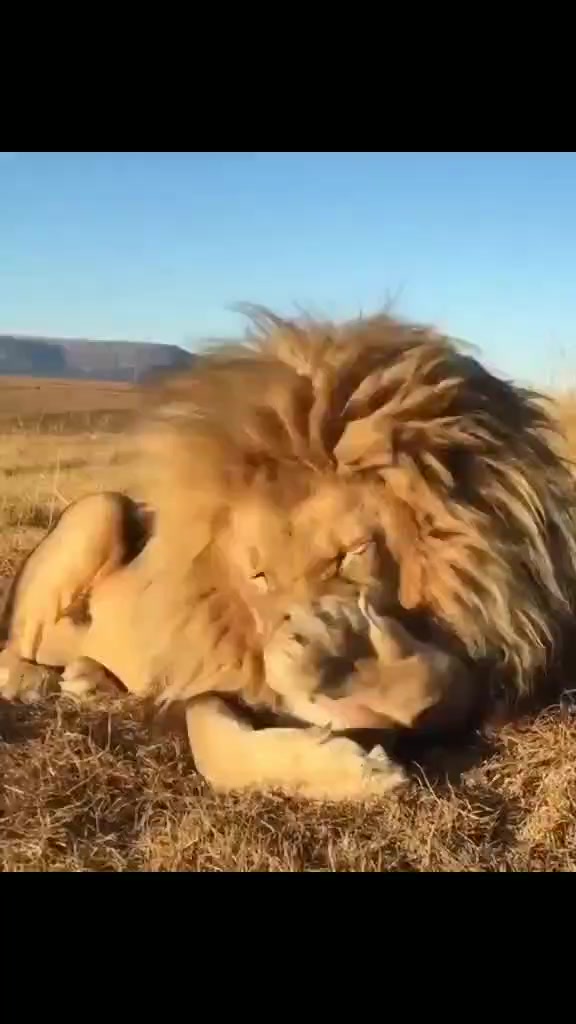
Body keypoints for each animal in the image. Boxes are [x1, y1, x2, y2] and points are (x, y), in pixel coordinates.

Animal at [1, 306, 575, 800]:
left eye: (353, 553)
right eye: (259, 576)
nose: (295, 632)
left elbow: (441, 679)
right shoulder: (206, 672)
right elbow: (213, 741)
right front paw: (353, 762)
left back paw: (89, 677)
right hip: (100, 508)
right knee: (14, 646)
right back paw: (38, 680)